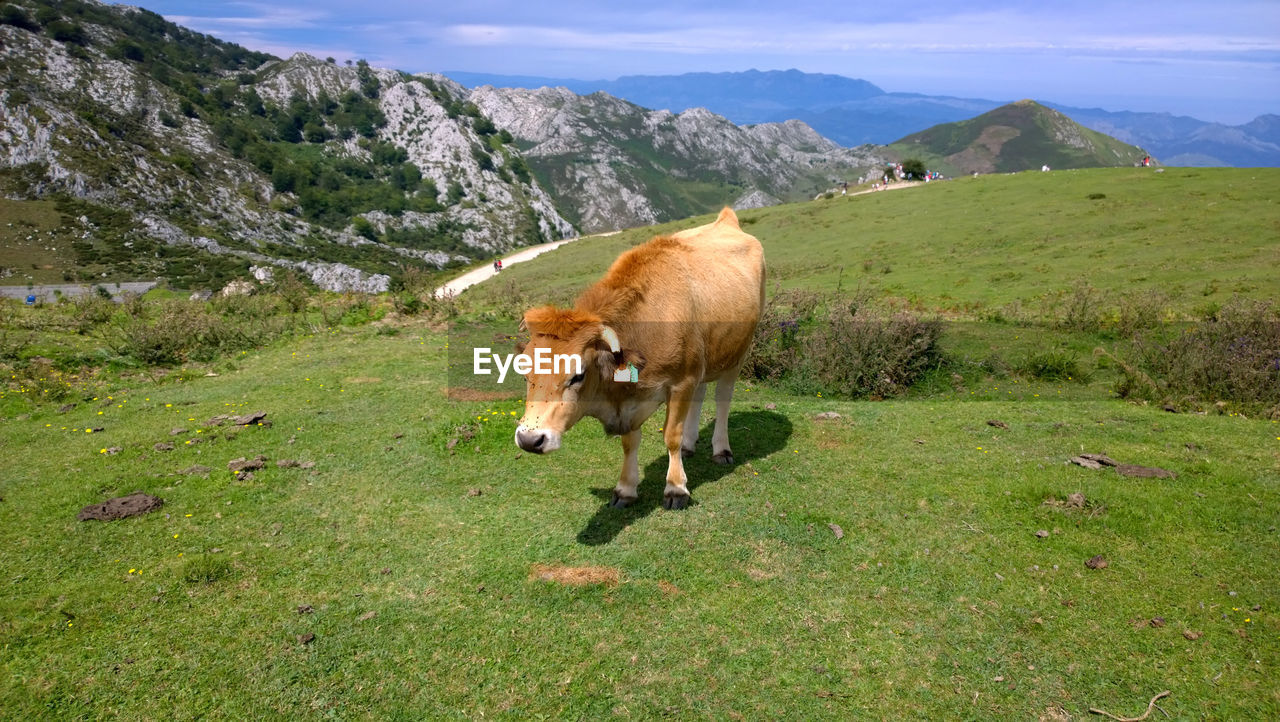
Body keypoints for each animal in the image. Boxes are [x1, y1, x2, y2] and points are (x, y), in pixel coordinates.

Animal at [514, 206, 762, 509]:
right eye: (525, 374)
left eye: (578, 375)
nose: (529, 439)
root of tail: (726, 220)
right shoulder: (634, 397)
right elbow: (629, 443)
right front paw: (625, 489)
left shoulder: (681, 381)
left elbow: (671, 435)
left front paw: (676, 488)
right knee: (701, 394)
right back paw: (690, 444)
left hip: (737, 353)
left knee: (722, 399)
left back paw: (721, 450)